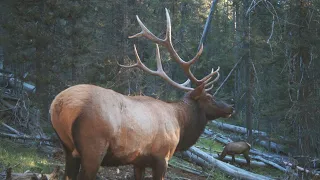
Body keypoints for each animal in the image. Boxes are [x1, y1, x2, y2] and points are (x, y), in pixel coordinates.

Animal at [50, 8, 235, 180]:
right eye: (210, 98)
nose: (231, 107)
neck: (180, 123)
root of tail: (60, 106)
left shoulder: (138, 161)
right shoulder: (162, 156)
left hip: (67, 148)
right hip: (94, 146)